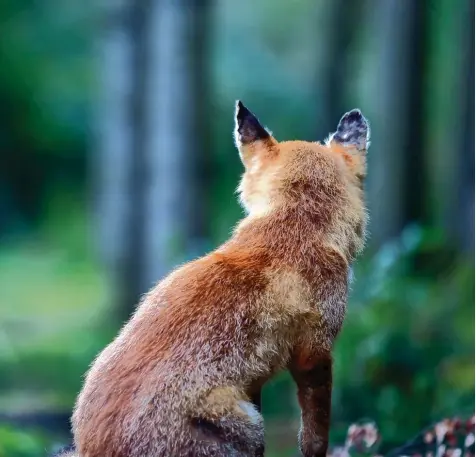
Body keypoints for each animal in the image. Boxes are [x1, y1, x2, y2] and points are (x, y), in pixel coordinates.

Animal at [64, 102, 368, 456]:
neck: (296, 225)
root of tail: (92, 448)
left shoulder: (254, 380)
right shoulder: (315, 351)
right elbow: (315, 437)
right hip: (249, 426)